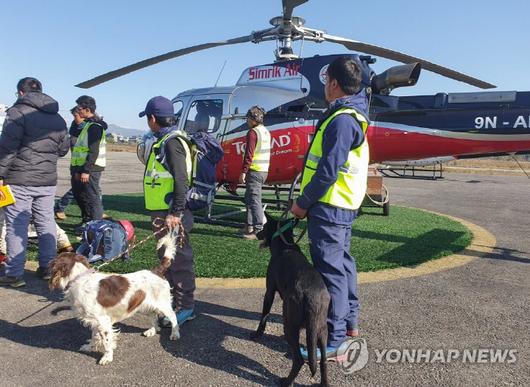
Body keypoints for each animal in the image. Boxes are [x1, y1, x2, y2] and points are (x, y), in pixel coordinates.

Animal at [50, 232, 180, 366]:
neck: (80, 277)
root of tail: (156, 270)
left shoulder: (103, 321)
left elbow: (107, 342)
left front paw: (107, 357)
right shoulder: (94, 321)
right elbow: (94, 336)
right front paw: (90, 347)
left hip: (163, 304)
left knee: (173, 316)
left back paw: (175, 334)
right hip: (144, 305)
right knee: (153, 317)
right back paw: (151, 331)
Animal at [250, 215, 328, 387]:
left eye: (264, 227)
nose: (257, 234)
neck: (285, 246)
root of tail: (313, 298)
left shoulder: (269, 292)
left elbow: (264, 315)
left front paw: (257, 334)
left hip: (290, 324)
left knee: (299, 360)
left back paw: (286, 381)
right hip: (321, 330)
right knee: (323, 362)